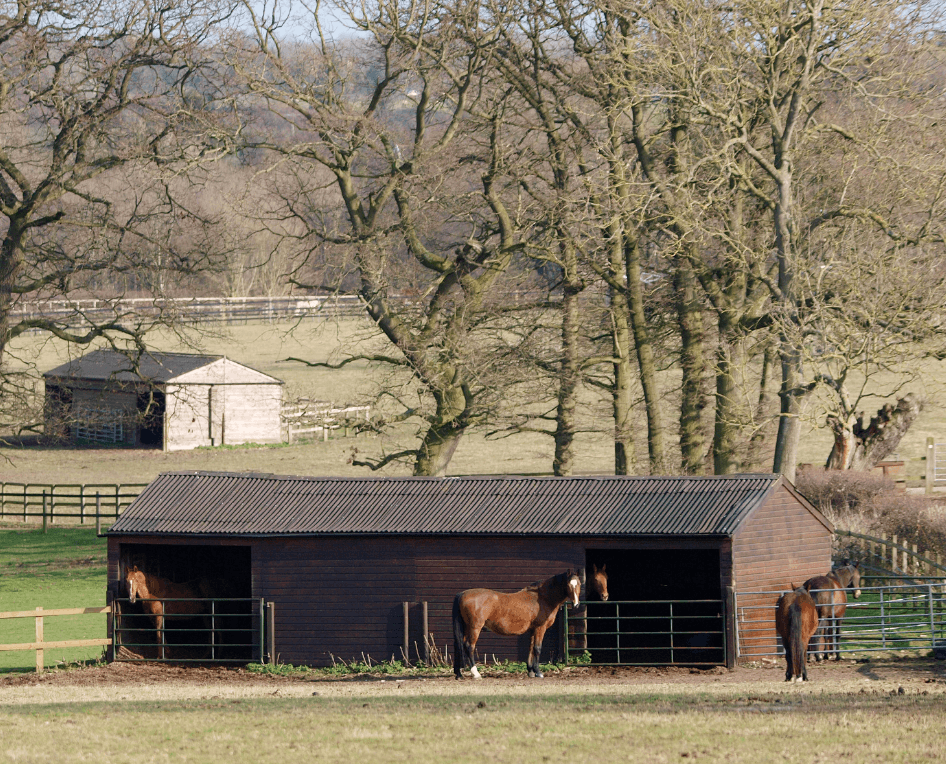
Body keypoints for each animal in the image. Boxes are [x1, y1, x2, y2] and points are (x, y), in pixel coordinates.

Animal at [453, 570, 581, 679]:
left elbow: (531, 648)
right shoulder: (540, 628)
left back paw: (459, 674)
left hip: (466, 628)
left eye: (579, 583)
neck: (542, 598)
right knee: (469, 646)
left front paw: (531, 671)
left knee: (460, 646)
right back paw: (476, 673)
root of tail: (462, 594)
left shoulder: (533, 630)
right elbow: (537, 648)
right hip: (474, 628)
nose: (576, 604)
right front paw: (538, 672)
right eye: (569, 585)